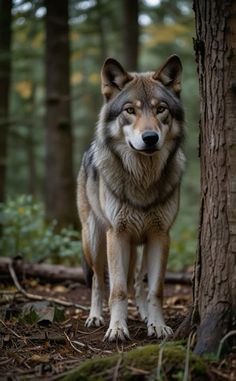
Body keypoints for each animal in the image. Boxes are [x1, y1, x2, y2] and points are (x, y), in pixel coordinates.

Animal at [76, 54, 185, 342]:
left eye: (161, 109)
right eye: (130, 110)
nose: (150, 138)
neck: (142, 180)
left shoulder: (160, 235)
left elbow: (155, 289)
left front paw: (157, 325)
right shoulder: (117, 234)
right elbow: (117, 290)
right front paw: (116, 328)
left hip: (140, 244)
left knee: (138, 281)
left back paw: (145, 315)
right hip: (94, 239)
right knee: (98, 281)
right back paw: (95, 317)